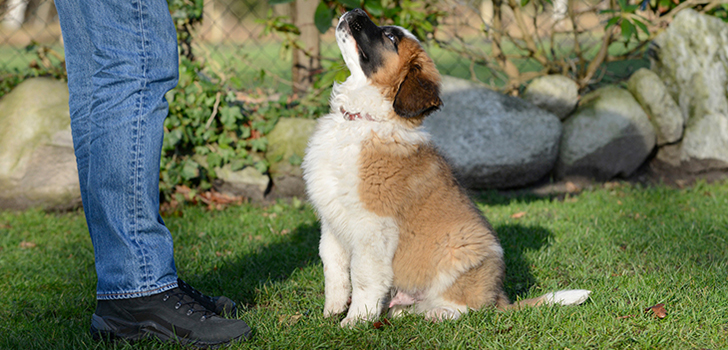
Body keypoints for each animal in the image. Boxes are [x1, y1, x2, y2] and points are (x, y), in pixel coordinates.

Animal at [302, 8, 592, 328]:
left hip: (463, 246)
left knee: (470, 309)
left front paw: (355, 322)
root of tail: (499, 298)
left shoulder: (373, 226)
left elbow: (364, 276)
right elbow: (334, 269)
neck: (360, 120)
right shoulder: (332, 222)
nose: (354, 11)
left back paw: (439, 312)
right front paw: (332, 311)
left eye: (390, 37)